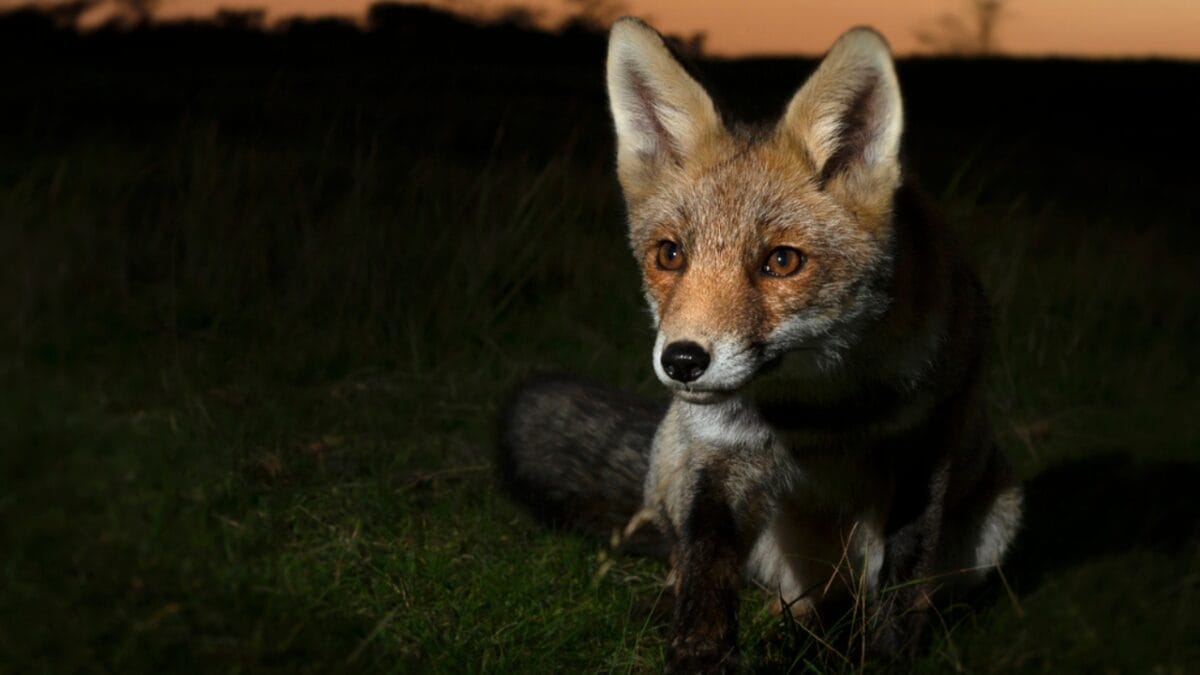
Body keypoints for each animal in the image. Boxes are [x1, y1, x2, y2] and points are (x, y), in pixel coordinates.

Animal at [497, 17, 1022, 671]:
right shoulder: (720, 451)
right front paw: (698, 651)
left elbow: (903, 583)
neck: (819, 408)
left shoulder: (927, 446)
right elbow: (706, 564)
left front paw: (885, 658)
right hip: (675, 457)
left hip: (997, 518)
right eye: (669, 254)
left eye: (781, 262)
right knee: (720, 573)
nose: (683, 361)